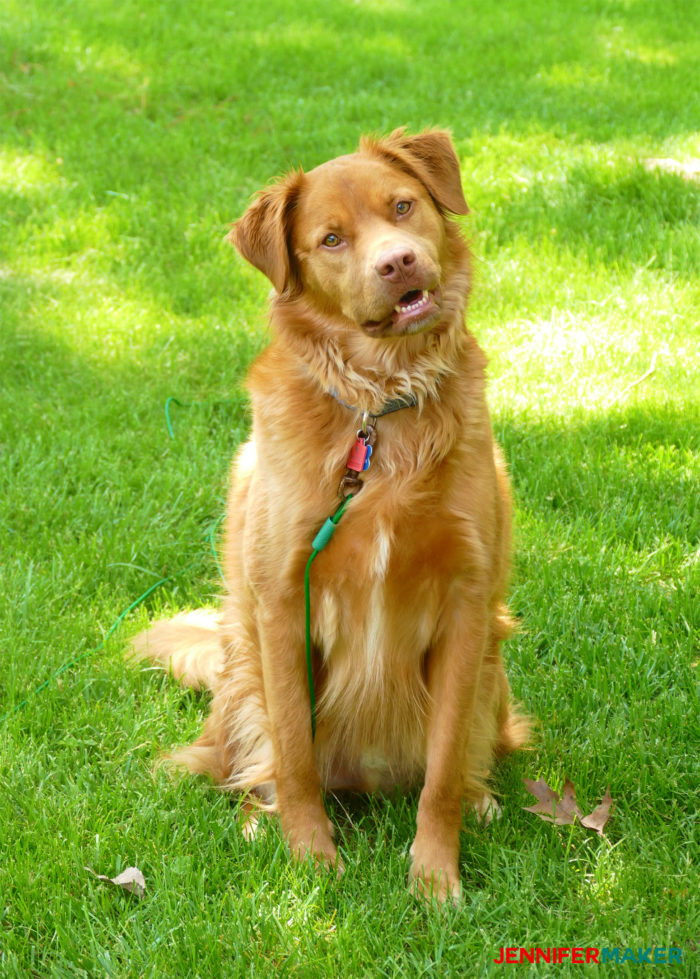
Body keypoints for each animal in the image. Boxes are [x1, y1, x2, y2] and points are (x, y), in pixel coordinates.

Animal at [131, 128, 528, 904]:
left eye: (402, 205)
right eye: (332, 239)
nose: (397, 261)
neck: (380, 406)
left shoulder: (468, 604)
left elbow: (441, 772)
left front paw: (435, 876)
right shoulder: (285, 599)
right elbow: (293, 751)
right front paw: (311, 857)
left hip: (493, 672)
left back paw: (482, 800)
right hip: (243, 663)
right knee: (247, 762)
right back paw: (259, 818)